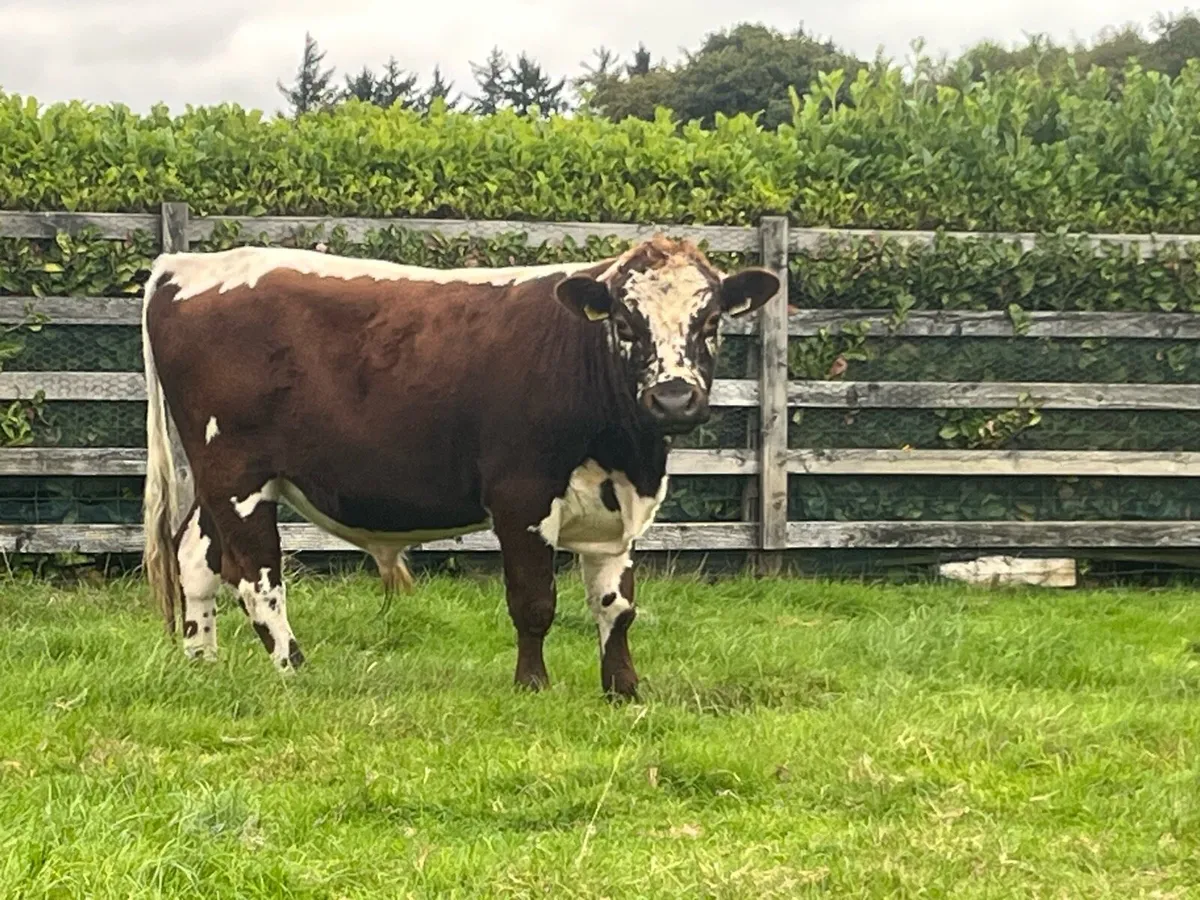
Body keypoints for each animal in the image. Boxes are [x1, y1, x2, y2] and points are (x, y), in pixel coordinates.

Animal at [140, 235, 780, 699]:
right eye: (624, 323)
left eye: (712, 322)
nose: (673, 398)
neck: (629, 455)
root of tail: (185, 265)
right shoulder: (521, 498)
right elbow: (533, 602)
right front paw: (532, 686)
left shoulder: (614, 514)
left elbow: (616, 607)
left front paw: (623, 689)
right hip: (237, 474)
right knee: (256, 575)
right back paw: (293, 669)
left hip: (220, 481)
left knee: (195, 557)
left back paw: (202, 662)